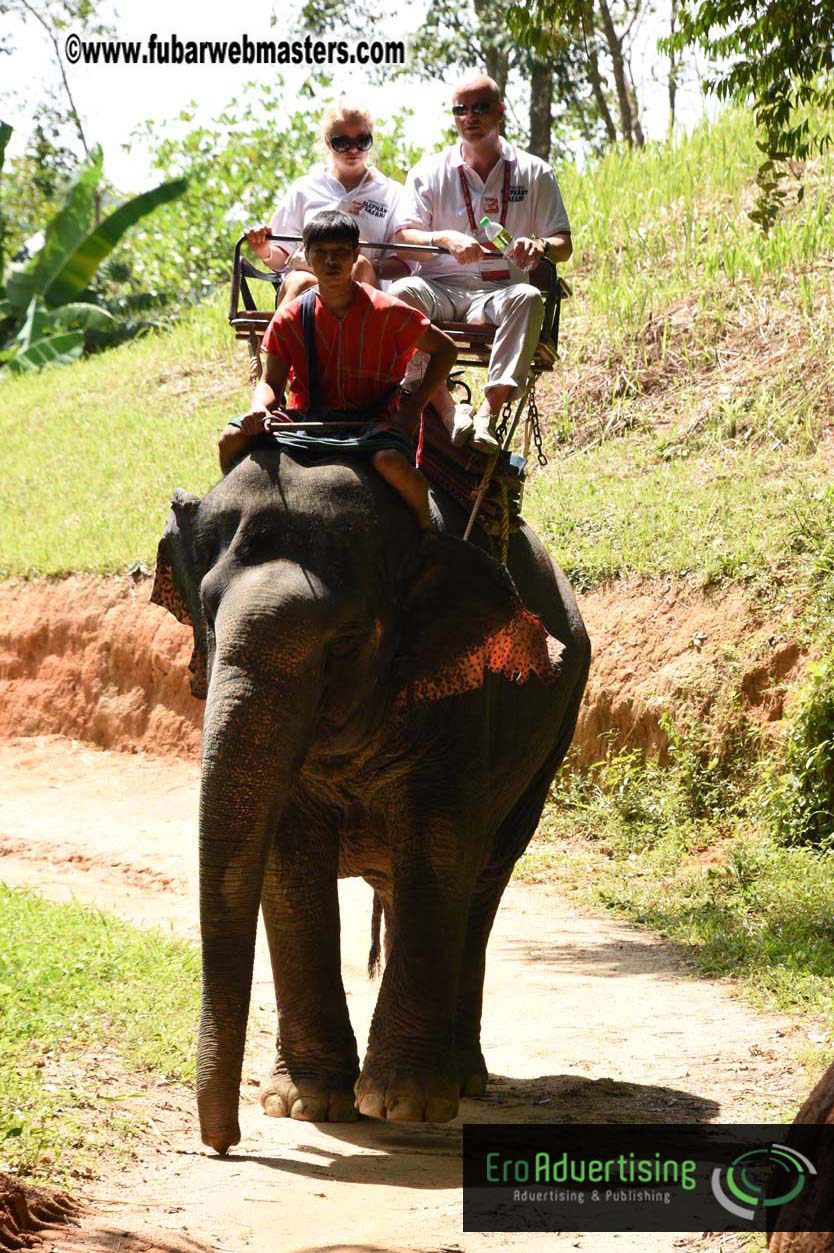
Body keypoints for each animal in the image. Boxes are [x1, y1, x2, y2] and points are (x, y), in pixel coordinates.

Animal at [151, 440, 590, 1154]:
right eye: (208, 619)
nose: (223, 1145)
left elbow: (436, 852)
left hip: (553, 740)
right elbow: (288, 863)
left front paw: (401, 1105)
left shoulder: (464, 698)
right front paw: (304, 1104)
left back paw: (462, 1081)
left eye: (349, 640)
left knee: (481, 885)